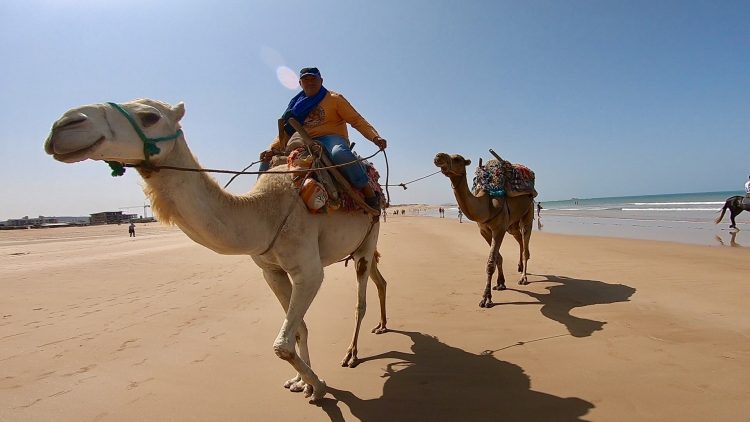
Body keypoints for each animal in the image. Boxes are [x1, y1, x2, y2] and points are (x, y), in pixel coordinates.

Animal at [434, 152, 536, 306]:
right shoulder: (484, 231)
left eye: (457, 159)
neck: (487, 205)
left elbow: (490, 263)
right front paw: (500, 283)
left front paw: (486, 298)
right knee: (519, 239)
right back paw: (519, 267)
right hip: (512, 225)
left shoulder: (499, 229)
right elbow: (498, 257)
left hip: (528, 210)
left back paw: (523, 277)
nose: (438, 156)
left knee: (525, 241)